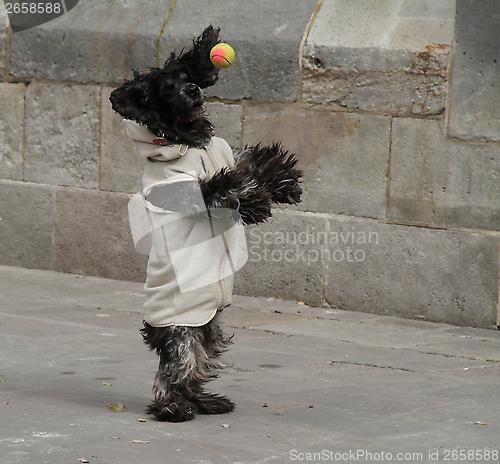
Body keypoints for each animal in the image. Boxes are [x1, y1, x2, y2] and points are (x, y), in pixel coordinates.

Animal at [110, 26, 300, 424]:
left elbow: (249, 161)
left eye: (186, 76)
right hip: (181, 333)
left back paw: (204, 402)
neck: (188, 140)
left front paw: (284, 179)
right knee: (171, 372)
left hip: (208, 331)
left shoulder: (227, 153)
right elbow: (225, 184)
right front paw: (255, 202)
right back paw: (172, 409)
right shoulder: (188, 191)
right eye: (167, 89)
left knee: (195, 368)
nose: (193, 90)